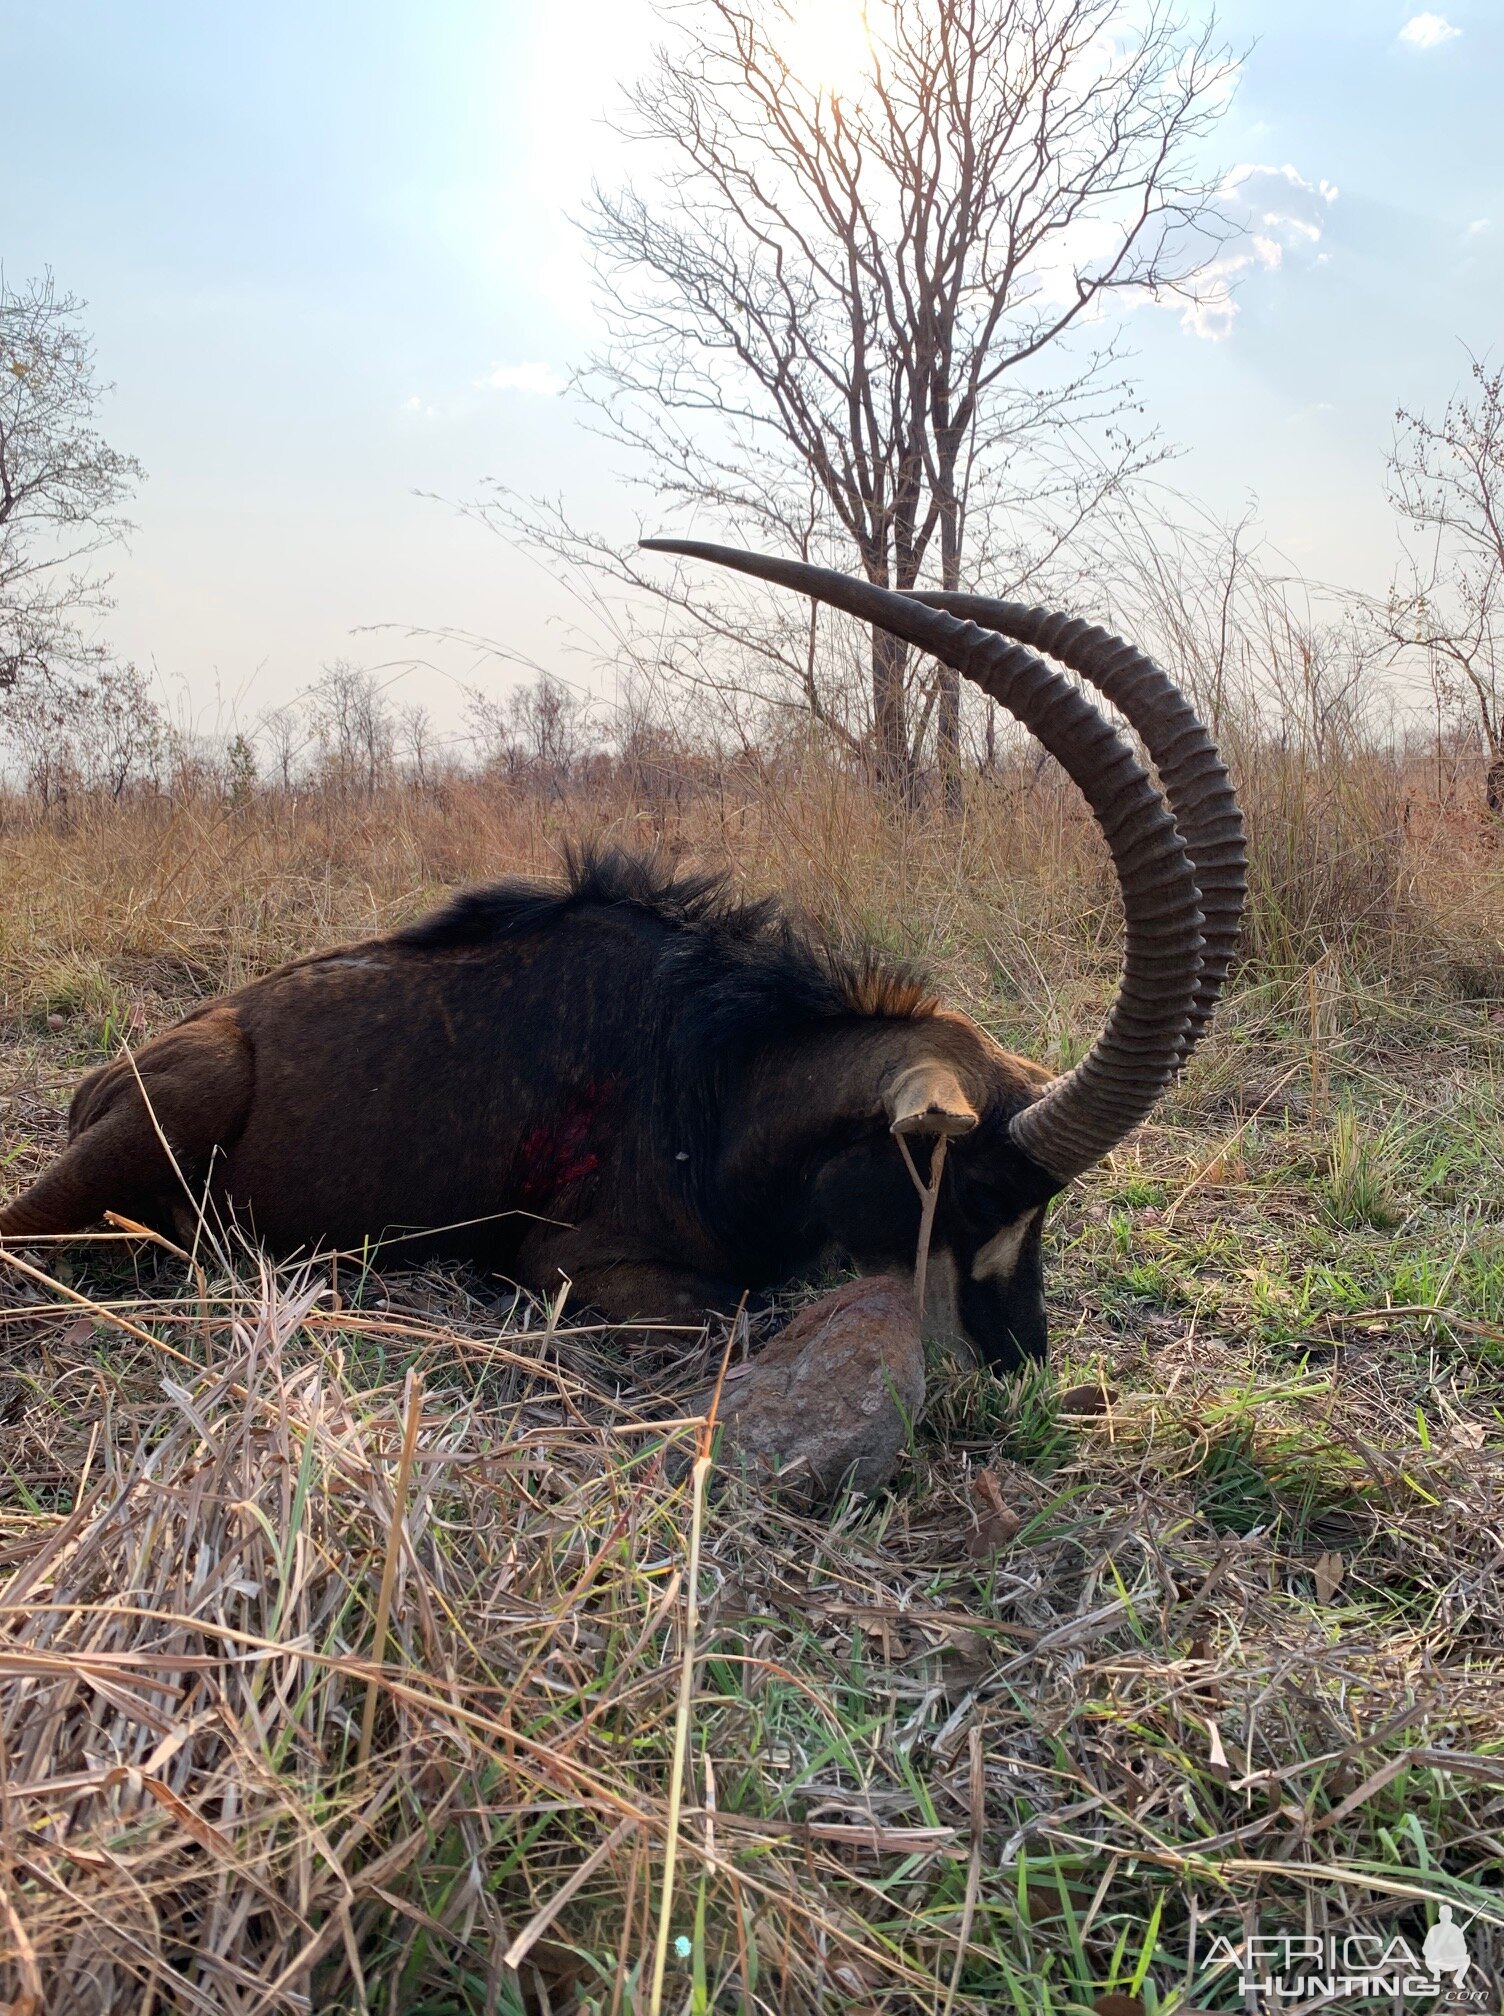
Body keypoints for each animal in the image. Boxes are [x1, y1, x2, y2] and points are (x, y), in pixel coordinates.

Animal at [0, 548, 1241, 1370]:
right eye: (970, 1189)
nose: (1021, 1358)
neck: (732, 1091)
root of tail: (105, 1076)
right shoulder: (575, 1268)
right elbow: (739, 1313)